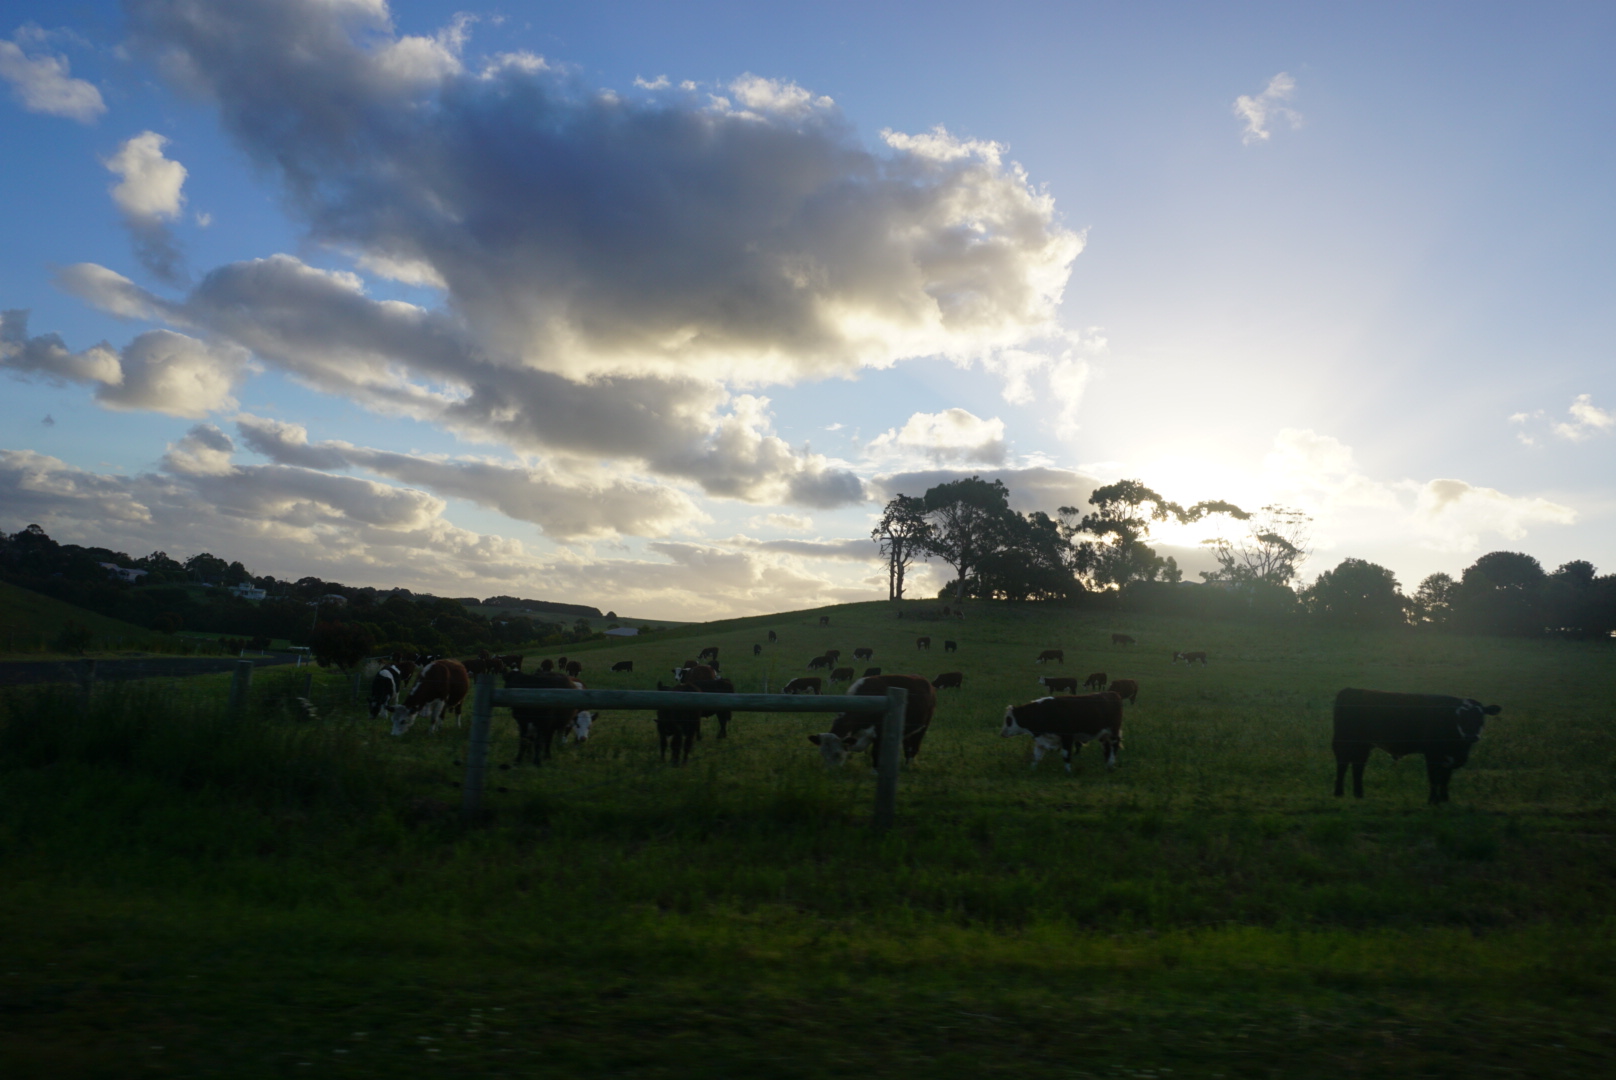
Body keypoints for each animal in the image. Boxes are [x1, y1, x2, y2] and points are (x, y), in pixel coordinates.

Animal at [814, 675, 943, 766]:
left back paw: (908, 766)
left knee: (913, 748)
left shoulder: (881, 733)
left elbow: (876, 753)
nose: (831, 771)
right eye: (822, 753)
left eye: (837, 754)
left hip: (921, 728)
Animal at [995, 695, 1124, 772]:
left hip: (1113, 732)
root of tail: (1113, 694)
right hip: (1103, 735)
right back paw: (1107, 764)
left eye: (1009, 720)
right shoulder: (1042, 739)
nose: (1002, 733)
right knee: (1107, 748)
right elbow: (1036, 756)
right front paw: (1031, 769)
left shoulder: (1067, 737)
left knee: (1114, 746)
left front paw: (1068, 771)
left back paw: (1111, 763)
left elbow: (1066, 755)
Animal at [1338, 688, 1499, 805]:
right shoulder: (1432, 755)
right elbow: (1433, 778)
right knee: (1343, 764)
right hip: (1345, 742)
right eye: (1460, 717)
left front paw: (1445, 799)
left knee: (1358, 766)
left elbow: (1445, 779)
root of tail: (1351, 690)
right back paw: (1338, 793)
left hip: (1362, 746)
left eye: (1480, 717)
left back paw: (1358, 794)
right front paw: (1433, 800)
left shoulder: (1449, 758)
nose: (1472, 736)